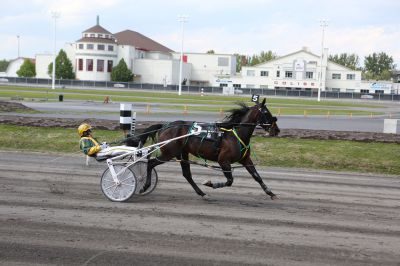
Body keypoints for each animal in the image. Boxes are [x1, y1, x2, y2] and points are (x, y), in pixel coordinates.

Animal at [139, 98, 280, 198]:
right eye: (266, 112)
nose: (277, 130)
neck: (236, 135)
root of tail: (164, 126)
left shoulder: (245, 159)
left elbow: (256, 176)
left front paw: (270, 192)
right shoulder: (223, 161)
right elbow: (230, 181)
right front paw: (210, 184)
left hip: (182, 153)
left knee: (187, 174)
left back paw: (202, 193)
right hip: (169, 153)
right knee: (151, 163)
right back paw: (144, 186)